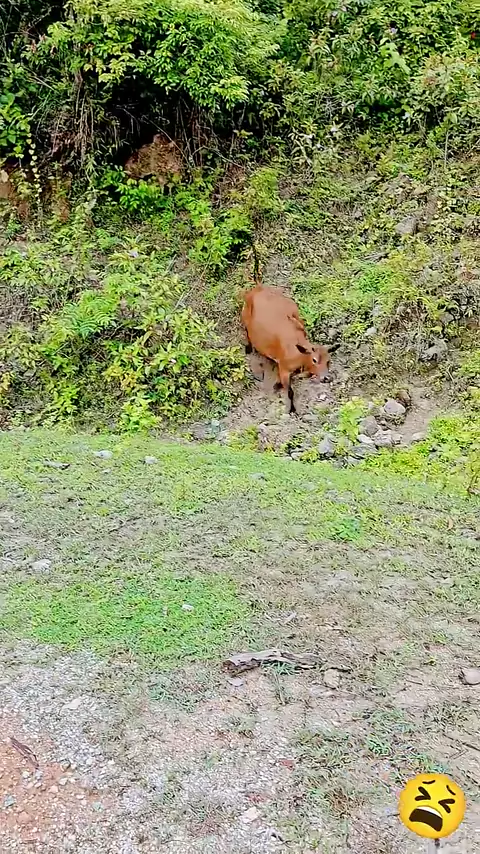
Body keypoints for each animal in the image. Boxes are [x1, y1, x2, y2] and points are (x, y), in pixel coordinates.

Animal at [241, 284, 332, 414]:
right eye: (314, 360)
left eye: (328, 361)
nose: (327, 378)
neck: (299, 354)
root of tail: (258, 288)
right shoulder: (284, 368)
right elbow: (289, 391)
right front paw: (292, 409)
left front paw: (277, 385)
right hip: (244, 317)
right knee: (246, 331)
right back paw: (248, 348)